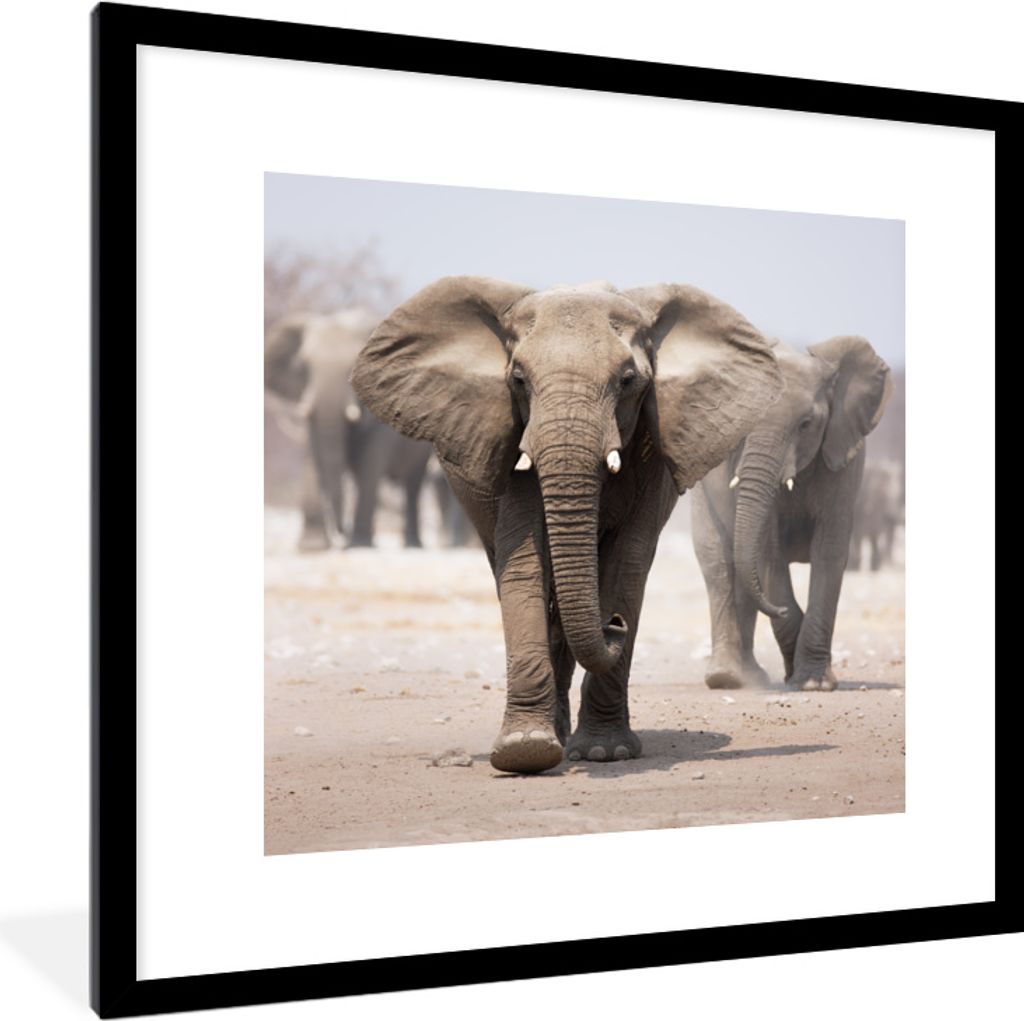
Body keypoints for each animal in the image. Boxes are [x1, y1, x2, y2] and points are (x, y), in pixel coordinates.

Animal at [264, 309, 434, 550]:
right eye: (303, 367)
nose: (340, 536)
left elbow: (369, 464)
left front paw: (360, 545)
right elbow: (314, 460)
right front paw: (312, 547)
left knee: (413, 484)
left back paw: (412, 545)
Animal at [352, 276, 782, 772]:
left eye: (628, 381)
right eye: (518, 380)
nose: (613, 624)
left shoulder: (653, 448)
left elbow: (628, 561)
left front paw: (604, 752)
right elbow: (524, 560)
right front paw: (526, 750)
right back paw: (553, 734)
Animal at [691, 337, 892, 692]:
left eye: (806, 424)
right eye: (743, 425)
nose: (780, 610)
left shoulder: (844, 458)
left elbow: (829, 551)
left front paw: (813, 683)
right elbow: (768, 554)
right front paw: (799, 676)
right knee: (719, 564)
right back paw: (729, 678)